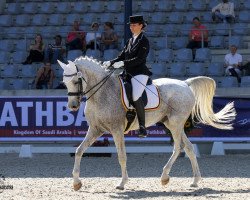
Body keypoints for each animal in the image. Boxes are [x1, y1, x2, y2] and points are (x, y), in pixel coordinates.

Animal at [58, 57, 236, 191]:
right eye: (64, 82)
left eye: (76, 80)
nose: (72, 106)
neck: (102, 93)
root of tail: (185, 83)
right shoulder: (96, 129)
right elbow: (79, 150)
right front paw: (76, 183)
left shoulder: (116, 130)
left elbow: (121, 156)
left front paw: (122, 183)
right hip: (172, 124)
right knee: (189, 147)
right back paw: (195, 181)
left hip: (175, 124)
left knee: (178, 147)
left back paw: (164, 177)